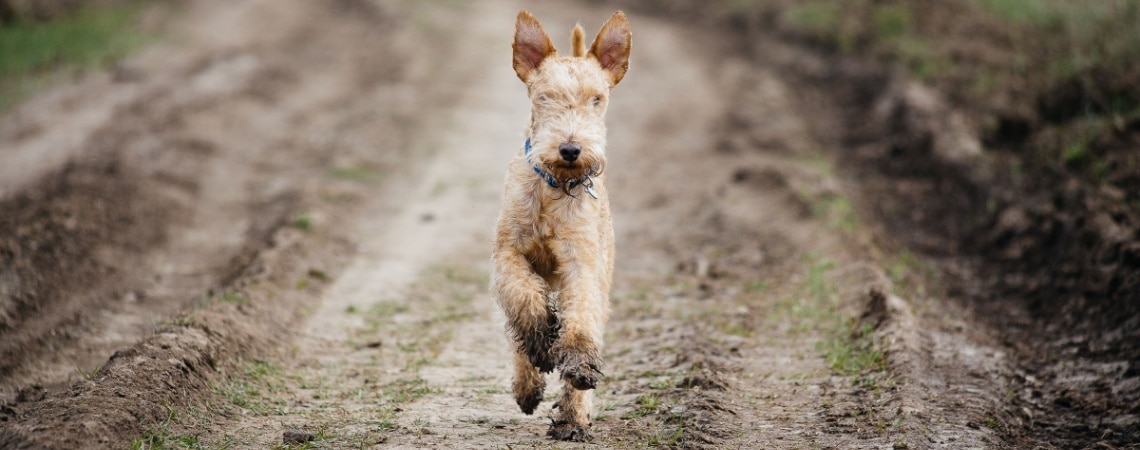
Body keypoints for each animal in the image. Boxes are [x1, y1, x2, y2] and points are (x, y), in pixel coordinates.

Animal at [490, 8, 633, 442]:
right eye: (544, 97)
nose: (570, 149)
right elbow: (524, 300)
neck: (553, 188)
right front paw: (540, 341)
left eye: (597, 99)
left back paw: (573, 419)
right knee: (517, 331)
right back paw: (528, 384)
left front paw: (580, 368)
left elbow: (581, 320)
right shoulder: (508, 255)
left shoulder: (582, 264)